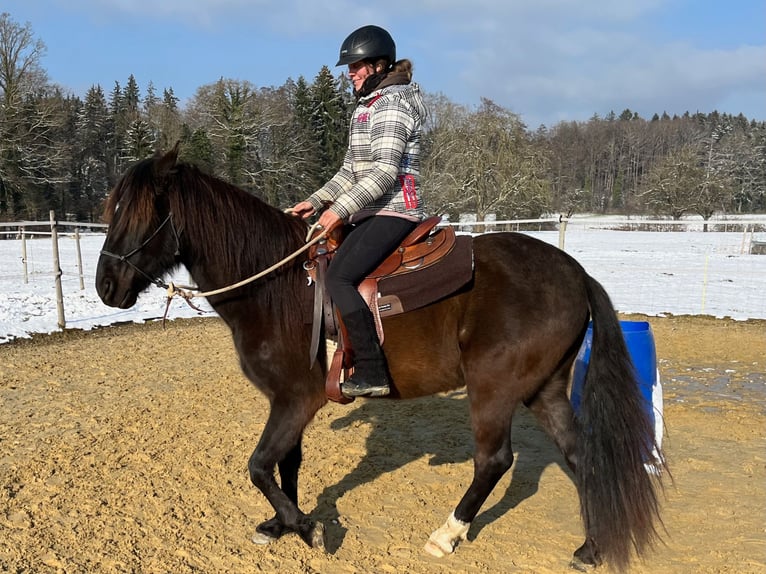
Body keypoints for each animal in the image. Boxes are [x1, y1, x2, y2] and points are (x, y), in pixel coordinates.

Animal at [97, 147, 664, 572]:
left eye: (139, 214)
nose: (105, 287)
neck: (279, 285)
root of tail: (575, 272)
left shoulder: (296, 399)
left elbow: (258, 465)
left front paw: (306, 528)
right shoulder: (290, 402)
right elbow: (286, 463)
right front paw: (282, 523)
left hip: (494, 388)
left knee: (494, 460)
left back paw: (446, 534)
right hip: (543, 389)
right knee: (581, 456)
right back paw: (590, 548)